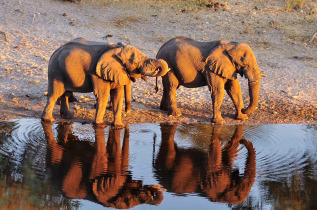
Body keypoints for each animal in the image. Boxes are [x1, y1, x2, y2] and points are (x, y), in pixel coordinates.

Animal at [41, 37, 169, 128]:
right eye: (136, 63)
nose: (127, 112)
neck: (116, 49)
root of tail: (55, 52)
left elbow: (118, 95)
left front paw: (118, 126)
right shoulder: (96, 72)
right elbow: (103, 94)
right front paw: (100, 125)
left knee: (65, 93)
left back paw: (67, 116)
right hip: (56, 71)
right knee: (55, 94)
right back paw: (48, 120)